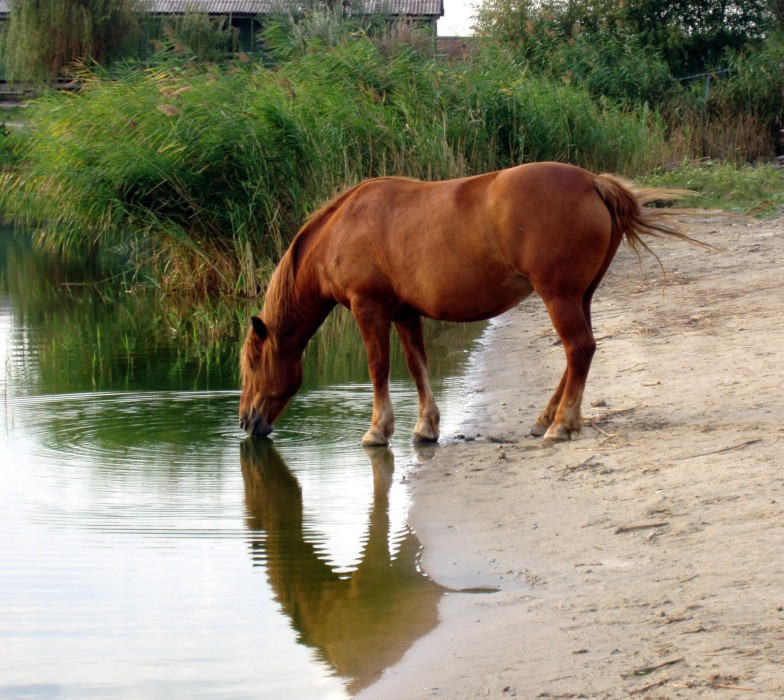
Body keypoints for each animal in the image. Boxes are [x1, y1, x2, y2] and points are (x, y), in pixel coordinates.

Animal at [237, 162, 700, 446]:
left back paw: (561, 425)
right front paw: (425, 426)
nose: (245, 421)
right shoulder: (404, 312)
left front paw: (378, 430)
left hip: (559, 296)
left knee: (579, 349)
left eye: (252, 364)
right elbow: (416, 365)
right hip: (580, 295)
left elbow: (378, 368)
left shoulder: (370, 309)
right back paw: (547, 418)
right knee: (577, 354)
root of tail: (591, 181)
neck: (342, 228)